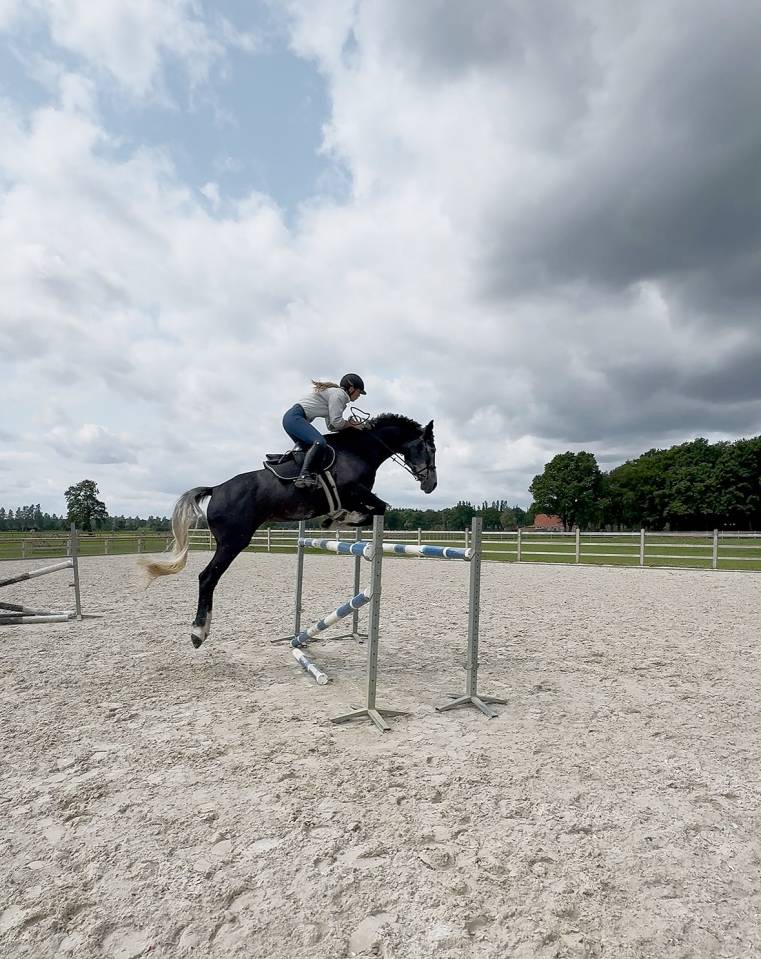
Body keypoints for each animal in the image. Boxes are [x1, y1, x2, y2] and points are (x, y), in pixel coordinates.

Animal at [142, 413, 437, 647]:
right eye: (430, 448)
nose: (431, 485)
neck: (360, 449)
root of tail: (216, 489)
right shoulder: (354, 491)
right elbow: (380, 508)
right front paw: (339, 519)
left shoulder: (355, 496)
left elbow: (373, 510)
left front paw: (336, 519)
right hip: (233, 541)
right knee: (207, 577)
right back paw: (198, 632)